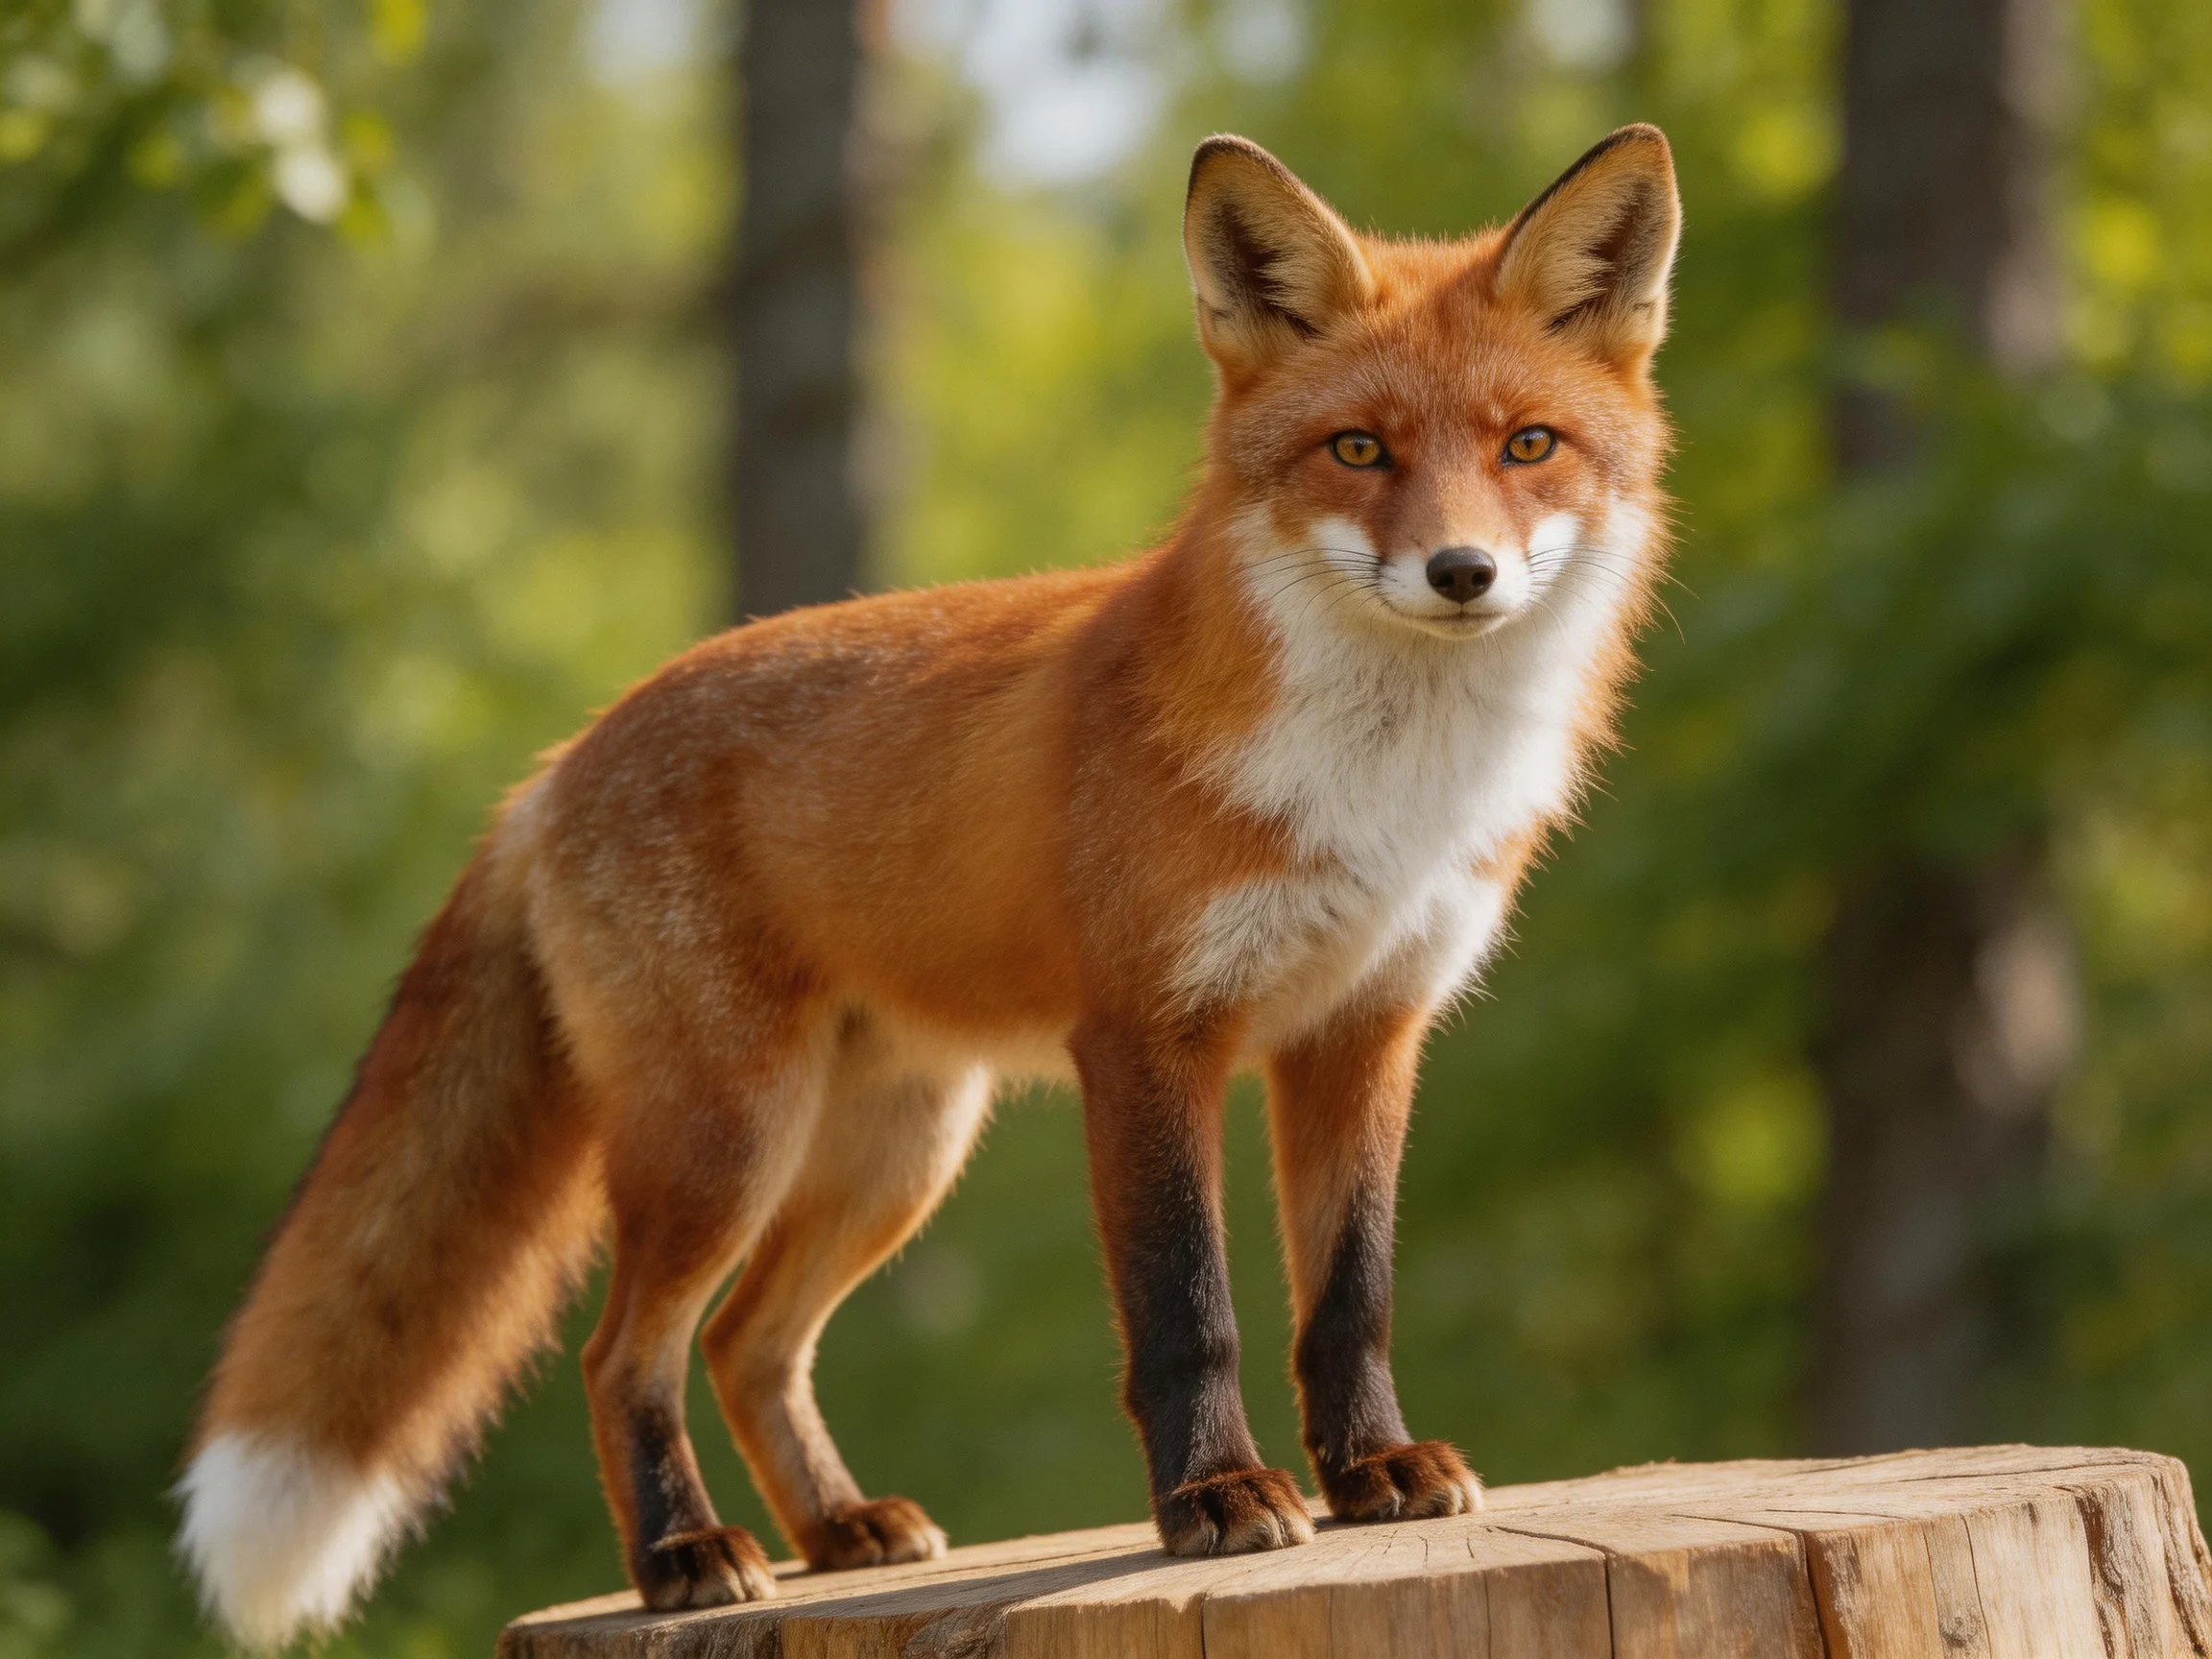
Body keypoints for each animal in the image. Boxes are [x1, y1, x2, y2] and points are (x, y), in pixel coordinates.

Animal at [177, 125, 1680, 1646]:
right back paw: (684, 1556)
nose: (1461, 571)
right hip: (727, 1139)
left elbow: (1350, 1297)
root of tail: (555, 764)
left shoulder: (1362, 1032)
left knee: (747, 1344)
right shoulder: (1148, 1038)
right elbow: (1186, 1311)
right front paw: (1214, 1500)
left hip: (892, 1153)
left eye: (1530, 445)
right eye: (1358, 449)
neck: (1381, 787)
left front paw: (1372, 1471)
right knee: (623, 1354)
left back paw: (836, 1531)